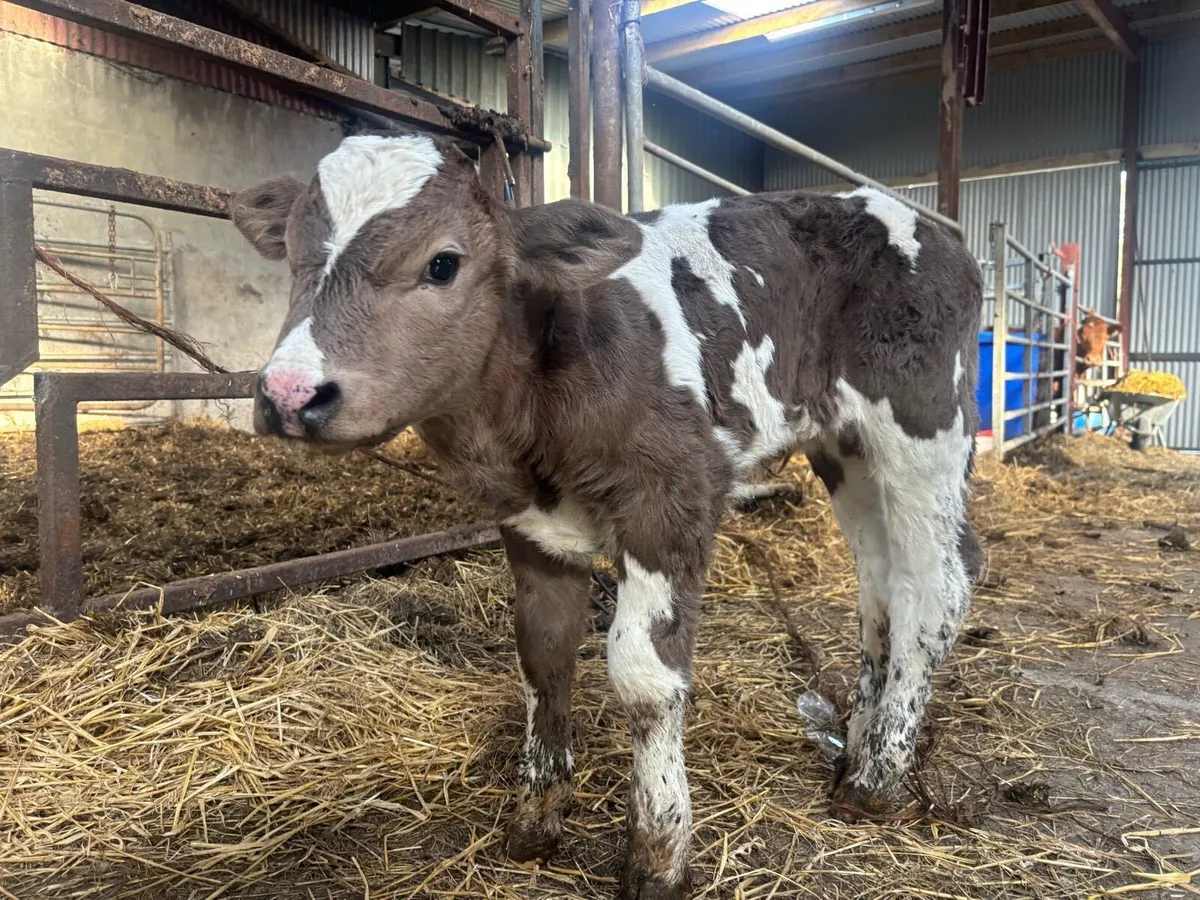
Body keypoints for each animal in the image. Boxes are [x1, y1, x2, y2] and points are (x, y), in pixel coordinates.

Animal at [229, 133, 984, 899]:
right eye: (291, 251)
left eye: (442, 262)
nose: (288, 394)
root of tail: (934, 228)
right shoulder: (528, 520)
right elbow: (543, 651)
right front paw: (537, 816)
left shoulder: (675, 494)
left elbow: (644, 678)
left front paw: (658, 852)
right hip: (845, 447)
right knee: (881, 591)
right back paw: (861, 741)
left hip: (923, 428)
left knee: (937, 587)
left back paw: (879, 776)